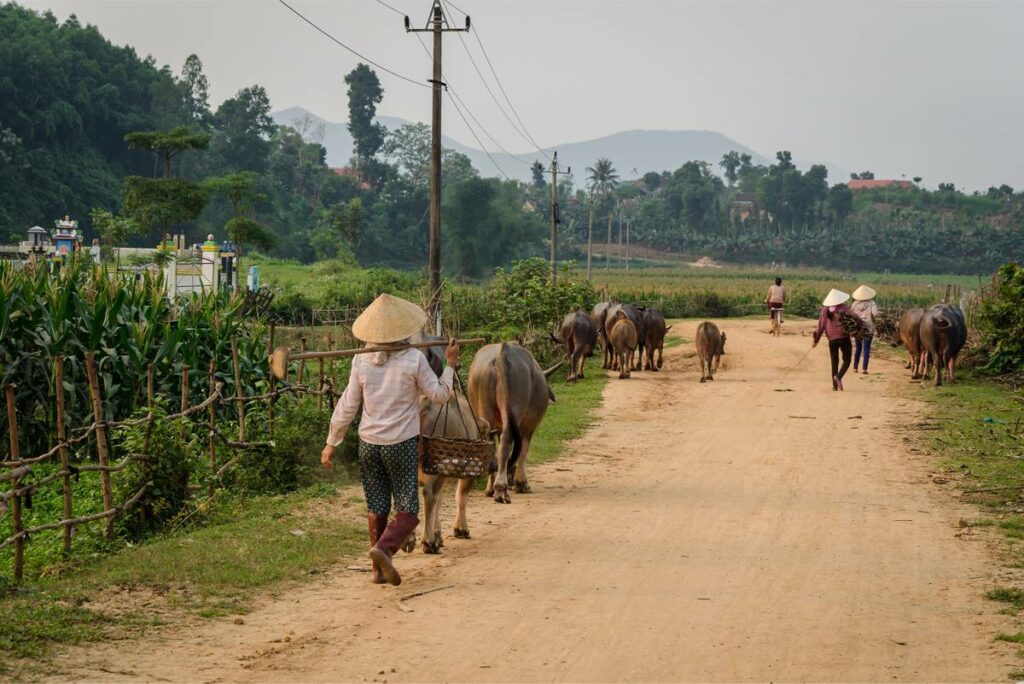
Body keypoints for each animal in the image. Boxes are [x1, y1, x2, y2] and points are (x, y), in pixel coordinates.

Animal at [468, 342, 557, 501]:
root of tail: (502, 354)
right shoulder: (528, 427)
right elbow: (523, 449)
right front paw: (521, 483)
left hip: (485, 409)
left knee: (490, 441)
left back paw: (490, 488)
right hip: (516, 407)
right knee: (506, 441)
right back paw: (500, 488)